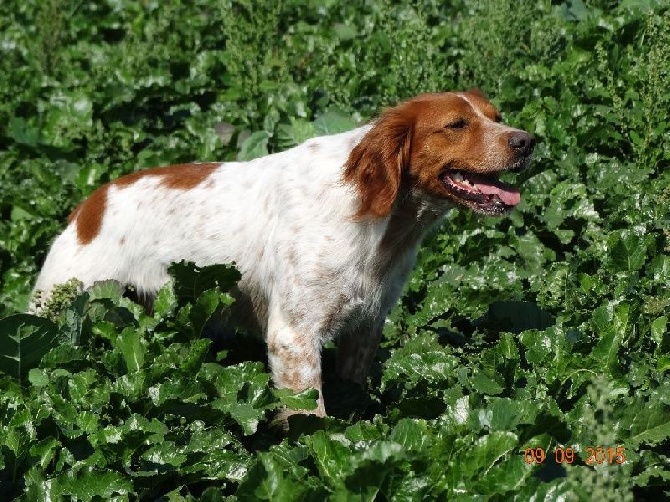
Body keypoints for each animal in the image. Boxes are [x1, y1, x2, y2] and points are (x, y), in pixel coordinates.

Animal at [31, 90, 536, 416]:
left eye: (497, 115)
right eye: (456, 125)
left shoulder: (366, 324)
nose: (528, 141)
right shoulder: (294, 336)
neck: (379, 221)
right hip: (54, 313)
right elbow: (310, 417)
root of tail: (89, 203)